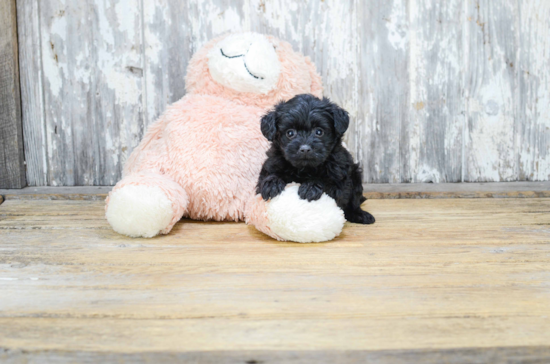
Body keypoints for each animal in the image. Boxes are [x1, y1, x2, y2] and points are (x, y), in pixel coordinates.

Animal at [256, 94, 378, 225]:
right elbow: (269, 176)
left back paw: (360, 215)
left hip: (355, 176)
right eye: (290, 133)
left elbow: (326, 180)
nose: (305, 149)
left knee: (354, 202)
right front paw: (271, 184)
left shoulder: (340, 178)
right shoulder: (271, 165)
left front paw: (310, 186)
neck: (305, 168)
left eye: (319, 132)